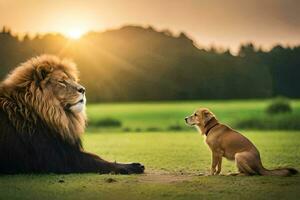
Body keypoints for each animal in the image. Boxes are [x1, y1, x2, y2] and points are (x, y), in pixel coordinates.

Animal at [0, 54, 145, 173]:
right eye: (61, 81)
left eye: (73, 80)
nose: (83, 89)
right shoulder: (57, 157)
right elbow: (97, 160)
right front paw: (132, 167)